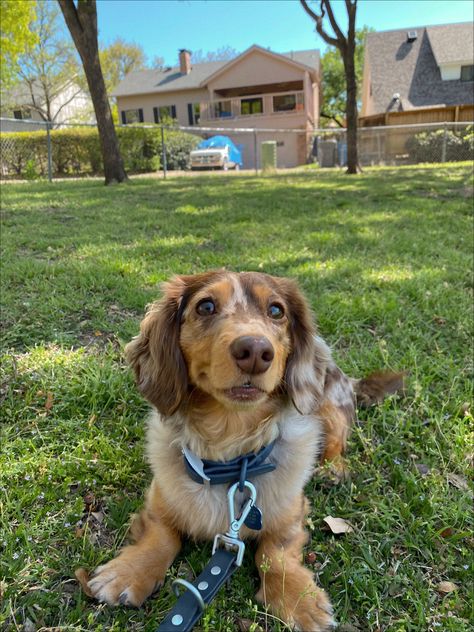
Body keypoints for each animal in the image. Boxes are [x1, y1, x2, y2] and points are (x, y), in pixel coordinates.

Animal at [85, 272, 404, 632]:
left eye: (277, 310)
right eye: (205, 306)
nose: (254, 350)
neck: (229, 449)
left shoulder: (292, 512)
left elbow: (275, 552)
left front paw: (298, 599)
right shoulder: (159, 499)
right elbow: (161, 535)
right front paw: (128, 572)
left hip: (329, 409)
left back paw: (333, 469)